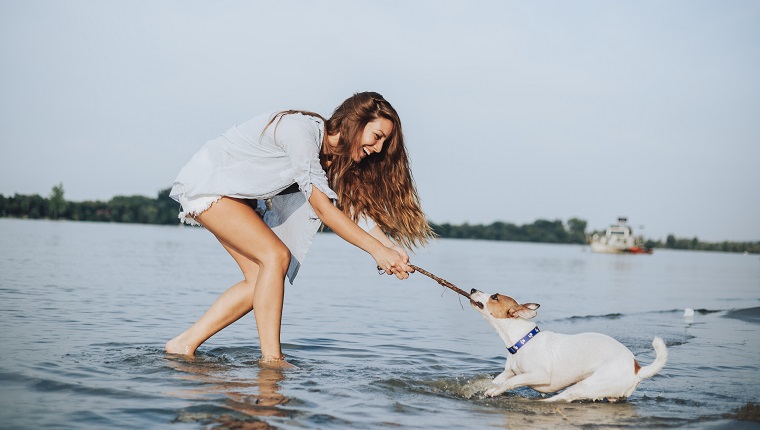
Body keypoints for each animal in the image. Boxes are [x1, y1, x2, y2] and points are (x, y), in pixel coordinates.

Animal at [466, 288, 668, 404]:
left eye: (494, 297)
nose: (473, 288)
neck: (523, 340)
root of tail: (637, 369)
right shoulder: (510, 372)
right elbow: (495, 380)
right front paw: (477, 388)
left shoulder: (539, 374)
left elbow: (511, 382)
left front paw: (494, 391)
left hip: (586, 385)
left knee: (564, 397)